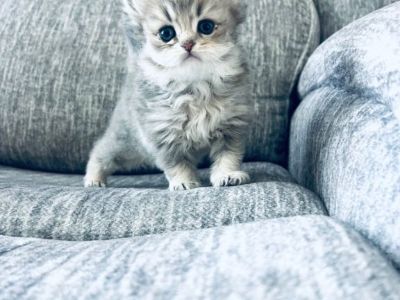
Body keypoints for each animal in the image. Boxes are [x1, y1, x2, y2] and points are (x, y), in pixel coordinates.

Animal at [84, 0, 255, 191]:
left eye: (206, 26)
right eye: (166, 33)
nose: (187, 44)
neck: (194, 89)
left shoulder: (231, 127)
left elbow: (228, 156)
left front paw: (227, 175)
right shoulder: (163, 134)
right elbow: (176, 164)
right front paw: (183, 182)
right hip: (125, 144)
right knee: (100, 151)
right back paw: (93, 178)